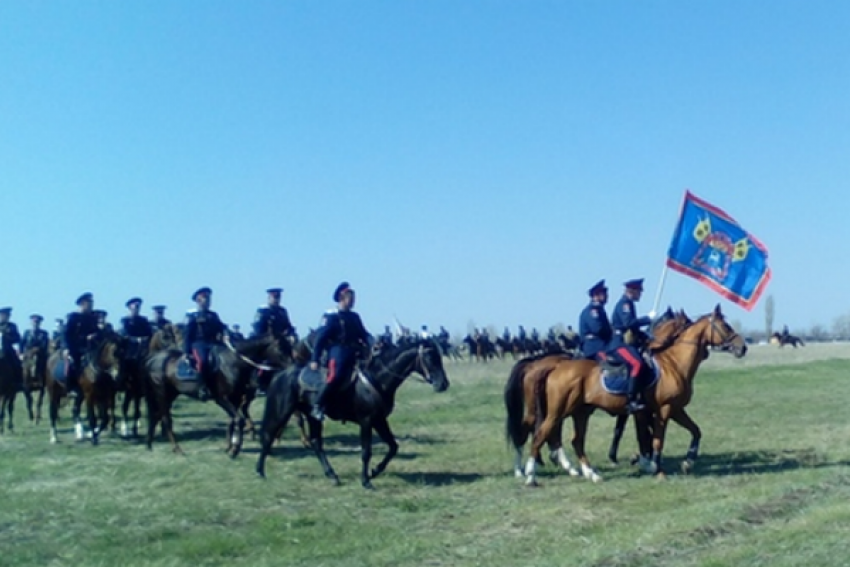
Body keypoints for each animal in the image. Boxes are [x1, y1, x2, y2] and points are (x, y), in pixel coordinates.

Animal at [144, 336, 290, 460]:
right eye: (281, 348)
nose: (292, 367)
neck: (233, 364)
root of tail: (152, 360)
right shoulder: (222, 399)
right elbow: (239, 420)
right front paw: (234, 450)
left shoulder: (235, 399)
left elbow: (232, 420)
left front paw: (229, 447)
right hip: (162, 394)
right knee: (166, 419)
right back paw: (177, 449)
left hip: (170, 395)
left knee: (156, 416)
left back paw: (149, 445)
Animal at [253, 340, 448, 490]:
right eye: (430, 357)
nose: (443, 384)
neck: (377, 379)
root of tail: (281, 373)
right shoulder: (367, 421)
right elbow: (366, 452)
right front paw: (366, 481)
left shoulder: (379, 420)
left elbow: (393, 446)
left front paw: (375, 471)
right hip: (282, 412)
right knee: (269, 435)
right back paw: (260, 471)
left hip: (312, 417)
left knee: (316, 443)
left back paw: (332, 475)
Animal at [504, 304, 744, 486]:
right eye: (725, 325)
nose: (742, 348)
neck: (673, 363)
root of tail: (552, 366)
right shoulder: (662, 410)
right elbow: (655, 439)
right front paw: (655, 467)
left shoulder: (672, 409)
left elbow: (694, 431)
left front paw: (687, 462)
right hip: (556, 412)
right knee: (538, 435)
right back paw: (529, 475)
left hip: (580, 412)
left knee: (573, 440)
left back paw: (588, 473)